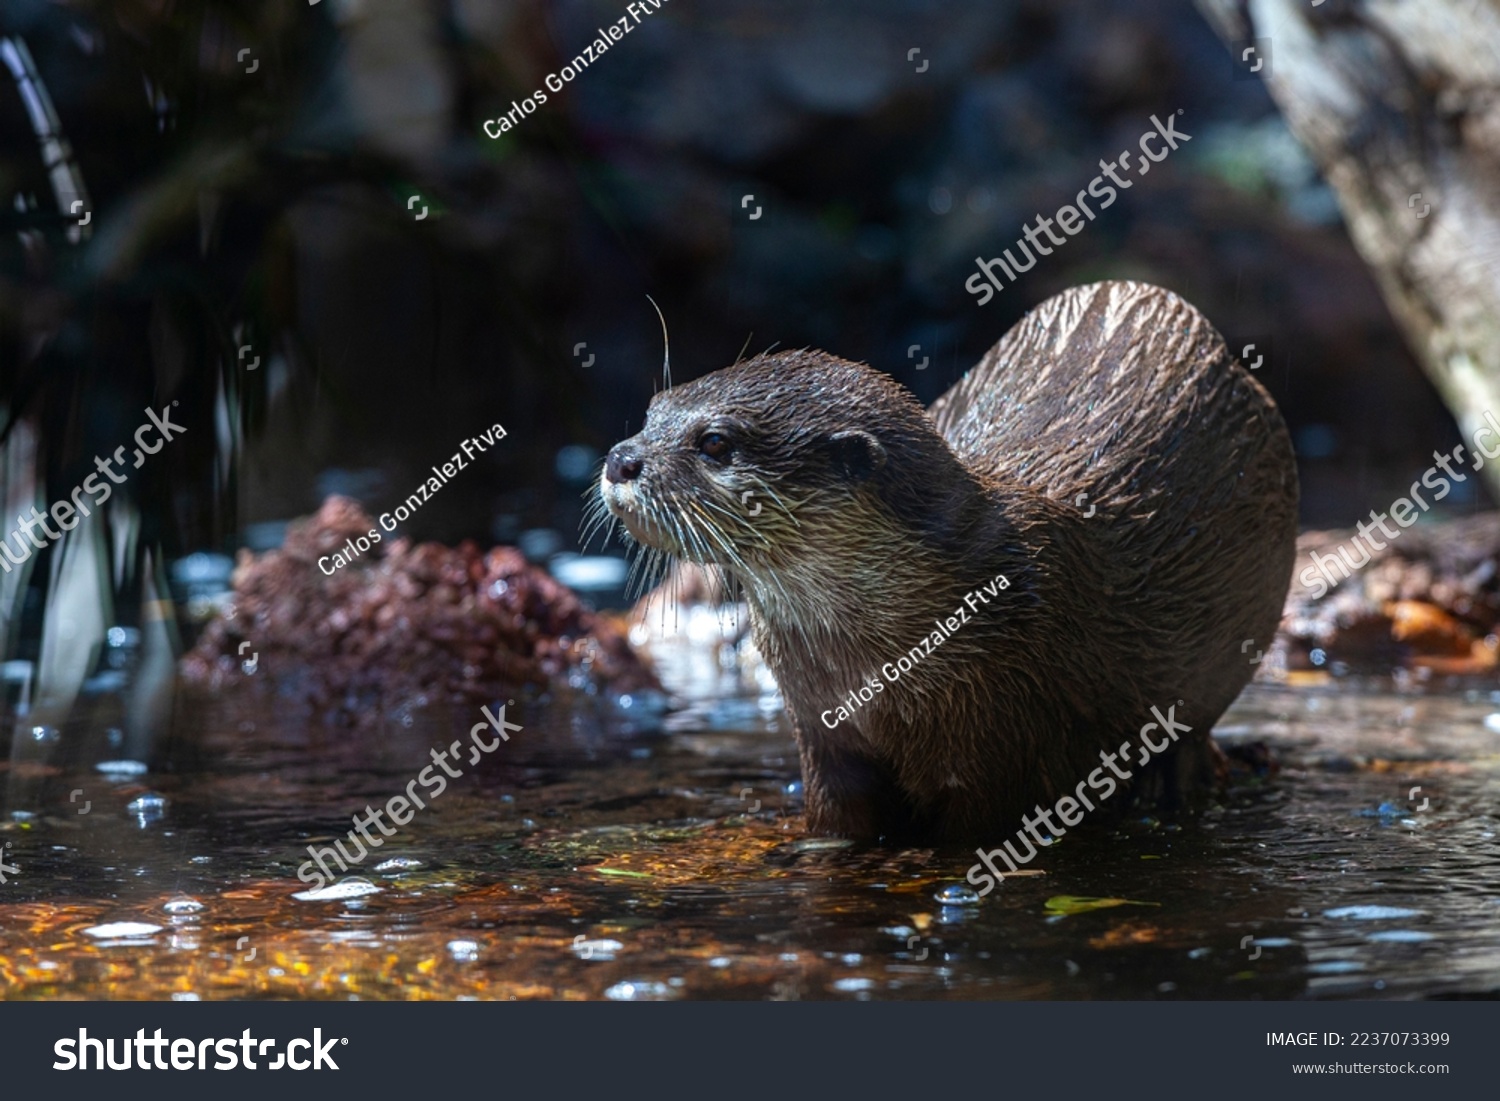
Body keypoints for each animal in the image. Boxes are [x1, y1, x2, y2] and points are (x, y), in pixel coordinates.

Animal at [599, 281, 1298, 842]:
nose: (620, 458)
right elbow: (835, 819)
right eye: (651, 413)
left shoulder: (1002, 750)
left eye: (716, 441)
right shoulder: (820, 732)